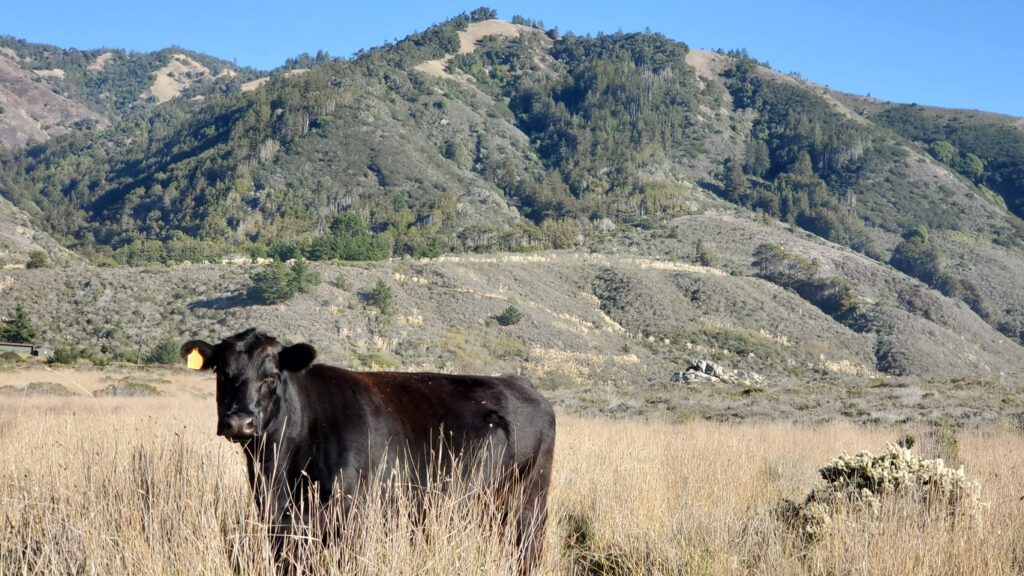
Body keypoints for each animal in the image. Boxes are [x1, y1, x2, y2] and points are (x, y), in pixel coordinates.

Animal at [180, 327, 557, 569]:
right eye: (222, 373)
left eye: (272, 375)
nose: (239, 422)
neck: (279, 467)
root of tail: (520, 384)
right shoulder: (279, 521)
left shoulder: (351, 517)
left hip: (528, 505)